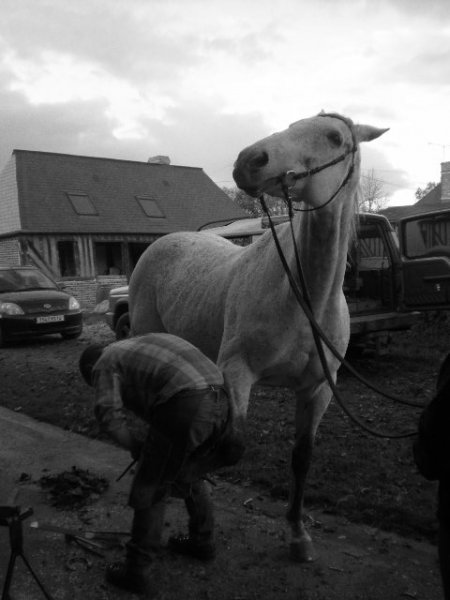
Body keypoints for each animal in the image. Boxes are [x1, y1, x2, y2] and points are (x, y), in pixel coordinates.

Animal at [128, 112, 388, 564]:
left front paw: (298, 535)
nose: (250, 160)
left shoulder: (318, 388)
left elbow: (302, 458)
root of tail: (162, 244)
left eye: (334, 137)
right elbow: (232, 446)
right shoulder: (238, 371)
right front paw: (186, 477)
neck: (303, 296)